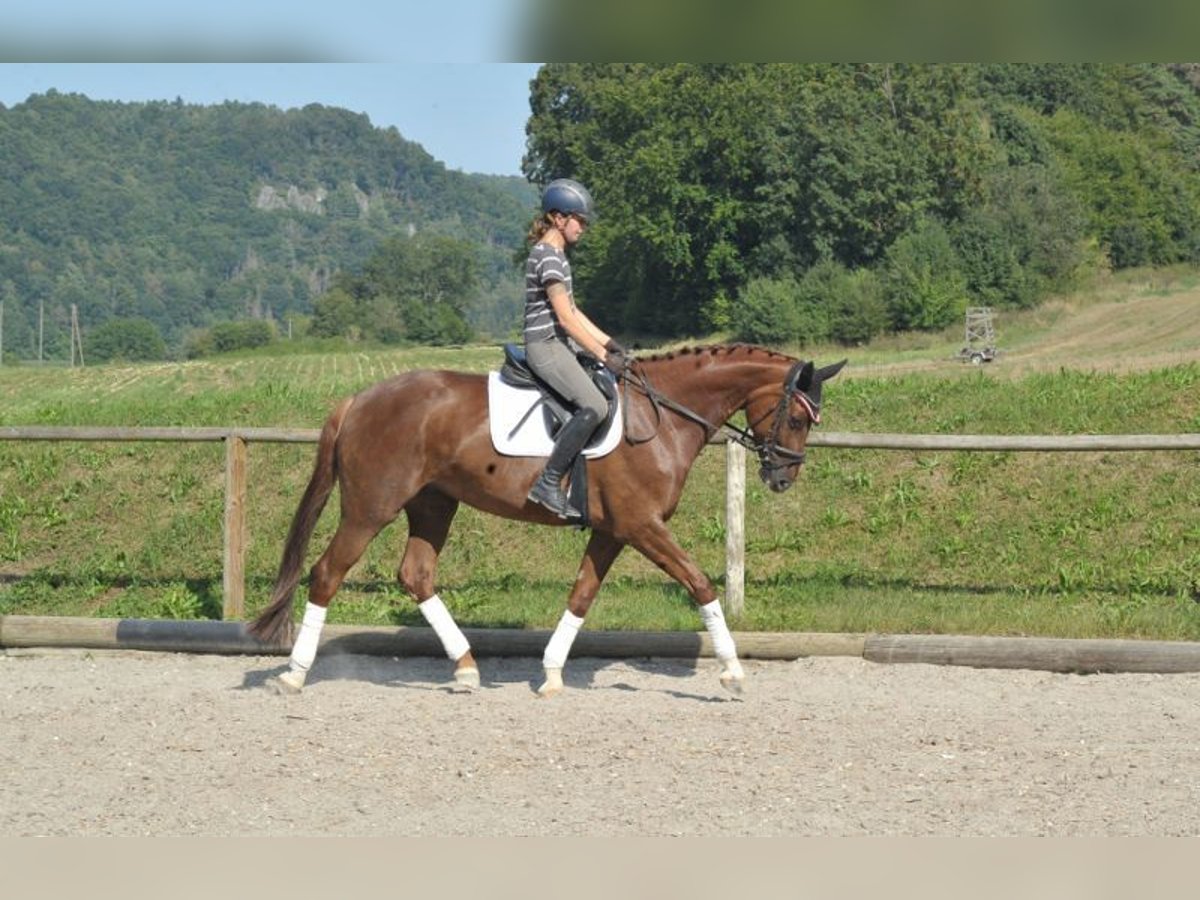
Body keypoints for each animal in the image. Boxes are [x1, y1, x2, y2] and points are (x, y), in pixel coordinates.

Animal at [246, 345, 844, 696]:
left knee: (415, 575)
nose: (783, 478)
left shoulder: (612, 531)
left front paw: (552, 671)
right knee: (327, 573)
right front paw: (732, 669)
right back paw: (295, 674)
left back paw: (466, 669)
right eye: (796, 419)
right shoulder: (643, 526)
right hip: (371, 507)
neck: (665, 416)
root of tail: (358, 400)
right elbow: (699, 583)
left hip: (434, 504)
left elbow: (581, 595)